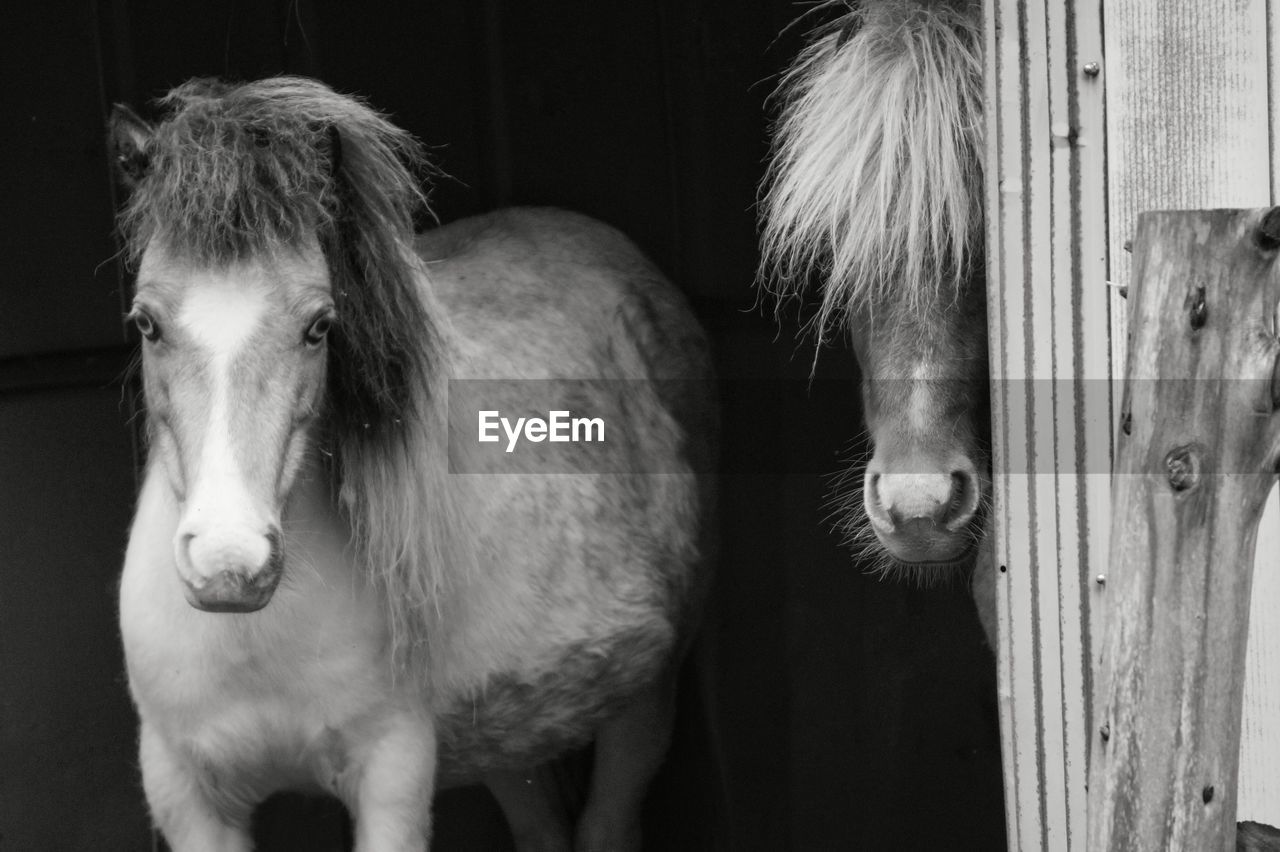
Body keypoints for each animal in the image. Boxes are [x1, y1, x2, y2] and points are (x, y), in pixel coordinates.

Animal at [108, 76, 716, 844]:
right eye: (146, 322)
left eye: (319, 327)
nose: (229, 565)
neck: (251, 644)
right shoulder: (188, 797)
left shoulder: (391, 773)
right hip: (511, 740)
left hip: (644, 700)